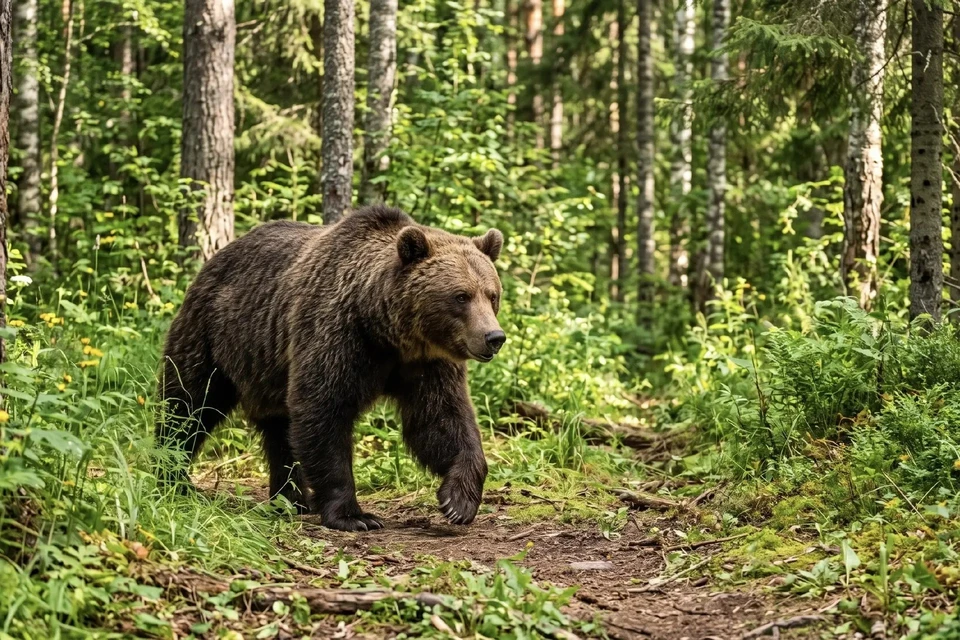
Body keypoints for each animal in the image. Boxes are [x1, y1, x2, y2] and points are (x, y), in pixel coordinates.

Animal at [155, 205, 505, 531]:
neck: (386, 332)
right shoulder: (337, 336)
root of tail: (216, 258)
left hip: (267, 368)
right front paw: (354, 515)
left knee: (279, 429)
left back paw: (293, 500)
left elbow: (441, 419)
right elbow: (323, 411)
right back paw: (173, 479)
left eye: (492, 295)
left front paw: (458, 501)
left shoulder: (426, 363)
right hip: (214, 336)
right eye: (460, 296)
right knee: (189, 404)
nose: (494, 337)